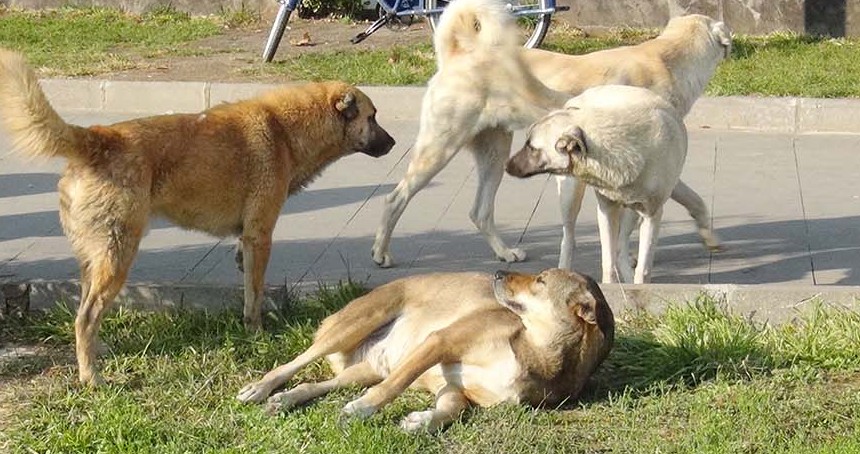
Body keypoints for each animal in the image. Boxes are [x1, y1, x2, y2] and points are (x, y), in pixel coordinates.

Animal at [0, 48, 396, 384]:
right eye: (373, 117)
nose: (393, 144)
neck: (285, 130)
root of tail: (96, 137)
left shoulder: (246, 242)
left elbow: (247, 281)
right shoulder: (260, 236)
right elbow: (255, 293)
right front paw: (256, 331)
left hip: (94, 261)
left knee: (85, 314)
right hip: (117, 258)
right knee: (84, 319)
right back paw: (91, 377)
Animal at [237, 270, 612, 432]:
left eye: (541, 281)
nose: (498, 271)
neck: (534, 350)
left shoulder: (456, 387)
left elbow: (451, 412)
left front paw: (419, 421)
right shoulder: (439, 341)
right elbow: (392, 389)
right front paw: (361, 410)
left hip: (364, 370)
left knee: (312, 384)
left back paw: (283, 400)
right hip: (352, 326)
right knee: (293, 364)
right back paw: (260, 388)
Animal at [508, 85, 688, 284]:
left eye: (531, 147)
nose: (507, 166)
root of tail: (582, 95)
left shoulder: (651, 215)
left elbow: (643, 269)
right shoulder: (606, 211)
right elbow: (608, 263)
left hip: (633, 213)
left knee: (621, 246)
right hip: (570, 197)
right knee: (569, 239)